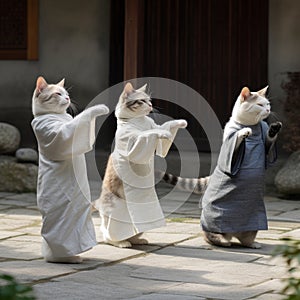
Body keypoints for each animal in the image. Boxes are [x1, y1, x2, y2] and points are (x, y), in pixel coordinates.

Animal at [31, 77, 109, 262]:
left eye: (66, 94)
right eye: (58, 94)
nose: (67, 99)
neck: (58, 115)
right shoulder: (52, 131)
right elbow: (78, 121)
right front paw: (99, 108)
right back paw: (67, 258)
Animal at [199, 86, 282, 248]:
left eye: (268, 104)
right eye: (260, 105)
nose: (268, 110)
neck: (250, 125)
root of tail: (233, 234)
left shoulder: (265, 143)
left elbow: (268, 142)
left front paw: (274, 128)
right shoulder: (230, 139)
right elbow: (236, 140)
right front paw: (243, 132)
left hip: (250, 229)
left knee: (246, 238)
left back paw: (252, 243)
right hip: (212, 223)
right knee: (211, 235)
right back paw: (222, 241)